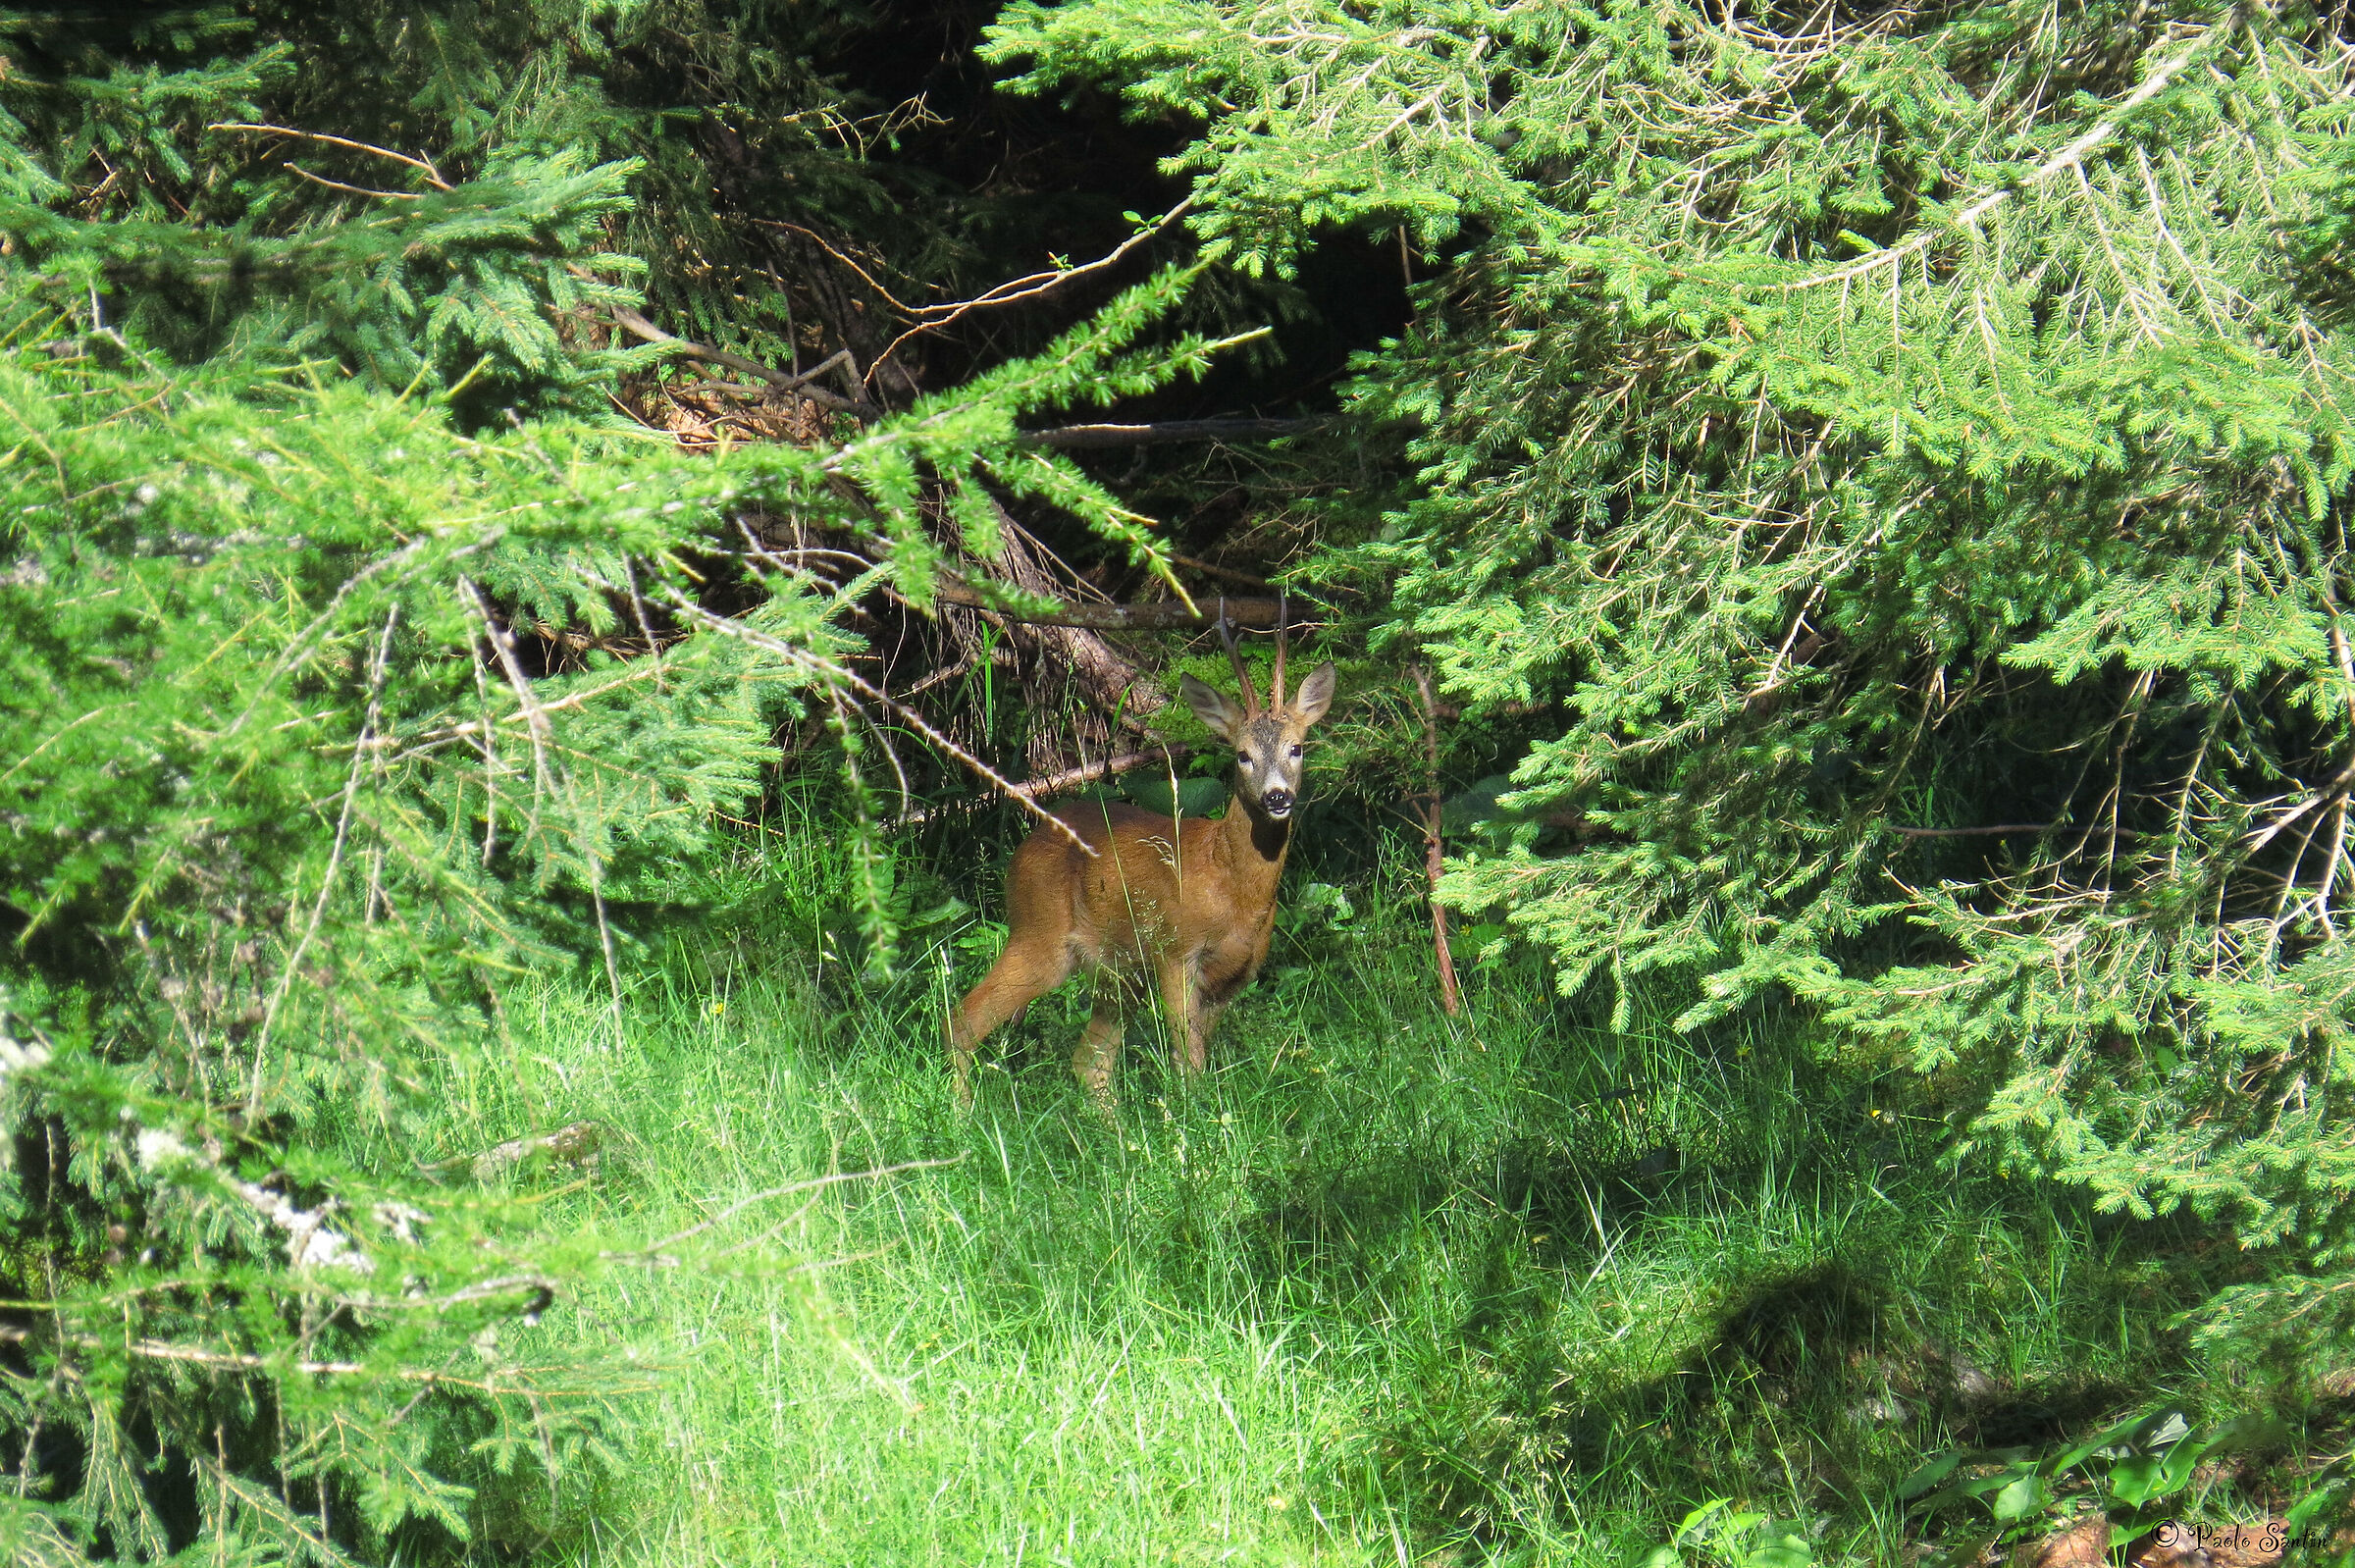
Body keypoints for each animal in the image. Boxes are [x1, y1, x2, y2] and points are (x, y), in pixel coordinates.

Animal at [947, 607, 1337, 1108]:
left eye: (1297, 747)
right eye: (1242, 755)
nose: (1277, 797)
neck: (1232, 884)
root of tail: (1024, 848)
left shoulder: (1240, 972)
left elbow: (1198, 1057)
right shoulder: (1176, 949)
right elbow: (1186, 1061)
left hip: (1117, 970)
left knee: (1089, 1059)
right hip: (1040, 933)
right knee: (964, 1019)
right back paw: (962, 1114)